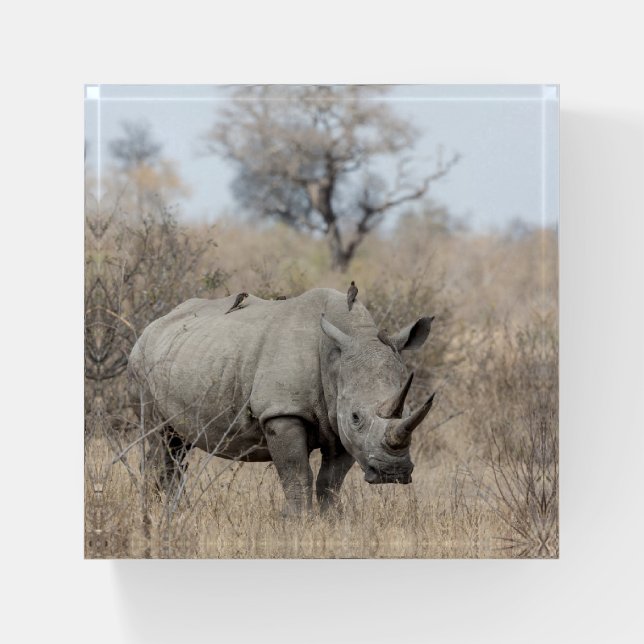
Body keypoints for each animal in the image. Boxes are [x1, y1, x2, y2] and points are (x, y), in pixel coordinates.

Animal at [128, 288, 436, 514]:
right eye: (356, 417)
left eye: (409, 409)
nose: (392, 473)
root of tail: (152, 326)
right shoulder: (282, 412)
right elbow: (297, 474)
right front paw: (300, 522)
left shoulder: (339, 422)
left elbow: (330, 481)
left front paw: (331, 521)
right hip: (141, 365)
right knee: (160, 439)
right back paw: (155, 514)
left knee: (178, 446)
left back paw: (171, 513)